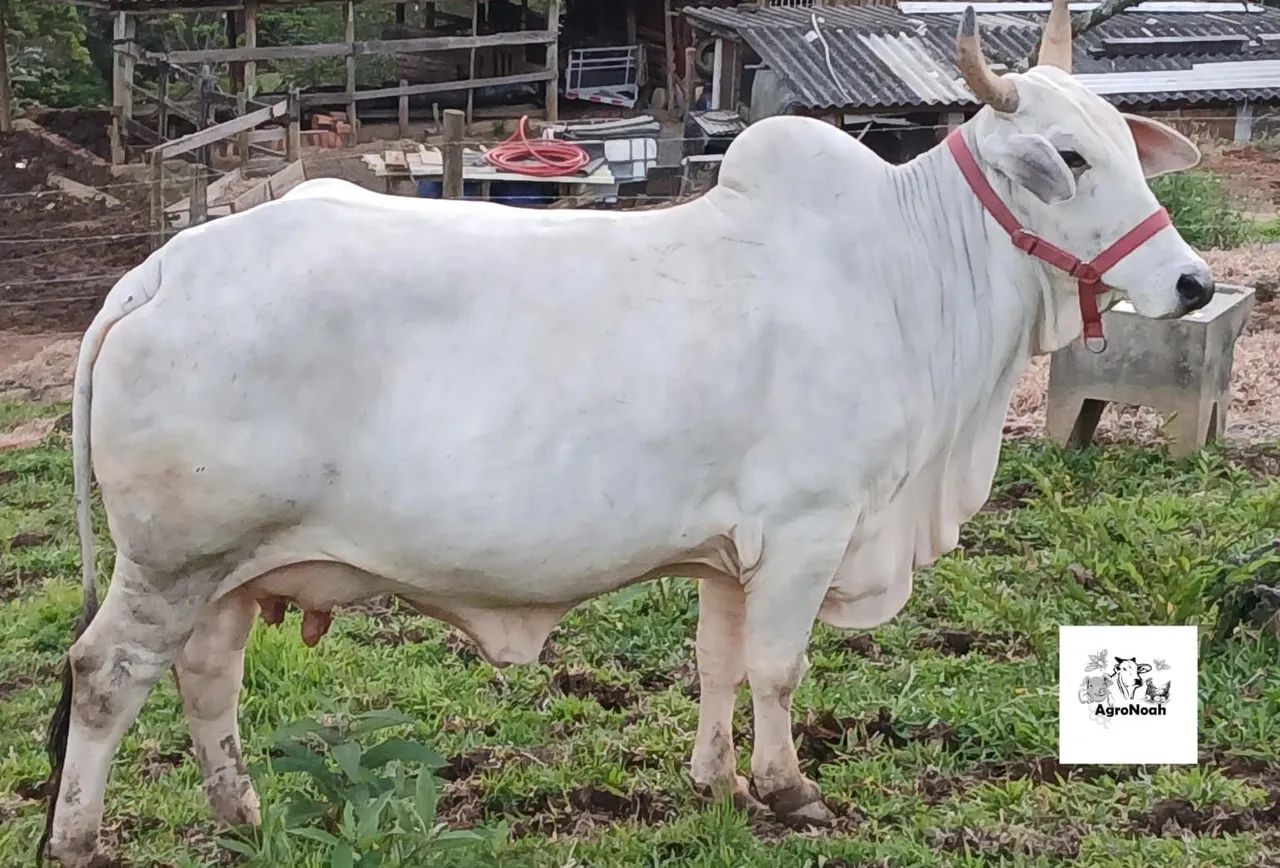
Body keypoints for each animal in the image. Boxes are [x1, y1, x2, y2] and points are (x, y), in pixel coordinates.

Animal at [39, 3, 1214, 864]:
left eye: (1127, 148)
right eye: (1069, 157)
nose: (1192, 283)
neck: (901, 270)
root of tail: (160, 271)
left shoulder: (730, 554)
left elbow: (717, 663)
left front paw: (715, 781)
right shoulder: (809, 527)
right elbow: (778, 667)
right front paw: (789, 790)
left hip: (229, 572)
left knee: (206, 677)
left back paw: (239, 814)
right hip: (175, 559)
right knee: (105, 675)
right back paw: (78, 839)